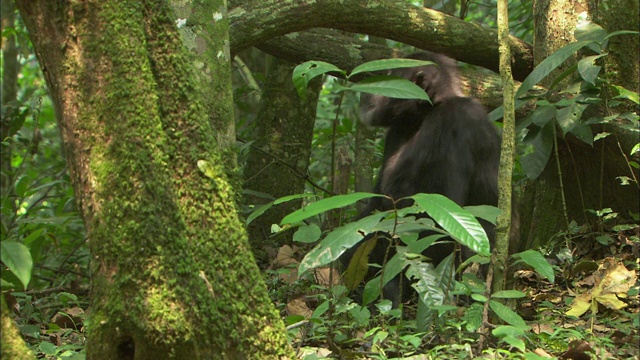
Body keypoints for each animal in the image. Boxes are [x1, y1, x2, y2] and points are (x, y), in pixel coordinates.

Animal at [342, 51, 502, 306]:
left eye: (390, 76)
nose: (367, 89)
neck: (426, 112)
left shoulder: (453, 120)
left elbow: (438, 217)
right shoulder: (396, 132)